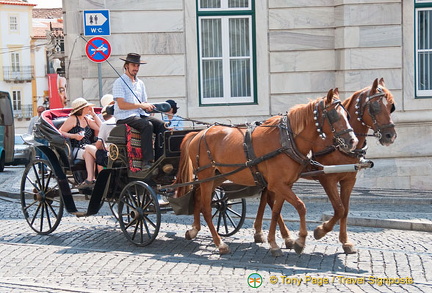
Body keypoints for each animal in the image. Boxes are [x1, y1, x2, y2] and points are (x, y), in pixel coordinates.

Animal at [175, 89, 358, 256]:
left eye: (347, 115)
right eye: (334, 115)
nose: (353, 141)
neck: (286, 140)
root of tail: (197, 133)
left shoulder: (284, 184)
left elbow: (276, 211)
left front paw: (275, 242)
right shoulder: (280, 184)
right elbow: (301, 206)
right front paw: (300, 240)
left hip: (217, 177)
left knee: (198, 198)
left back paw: (194, 230)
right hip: (206, 177)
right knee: (206, 207)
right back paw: (220, 244)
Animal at [253, 77, 398, 253]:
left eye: (391, 106)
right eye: (375, 106)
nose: (390, 135)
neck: (337, 144)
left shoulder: (349, 180)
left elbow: (345, 210)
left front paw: (345, 241)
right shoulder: (327, 179)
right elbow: (339, 208)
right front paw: (320, 231)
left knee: (266, 199)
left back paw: (265, 233)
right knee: (269, 200)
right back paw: (282, 236)